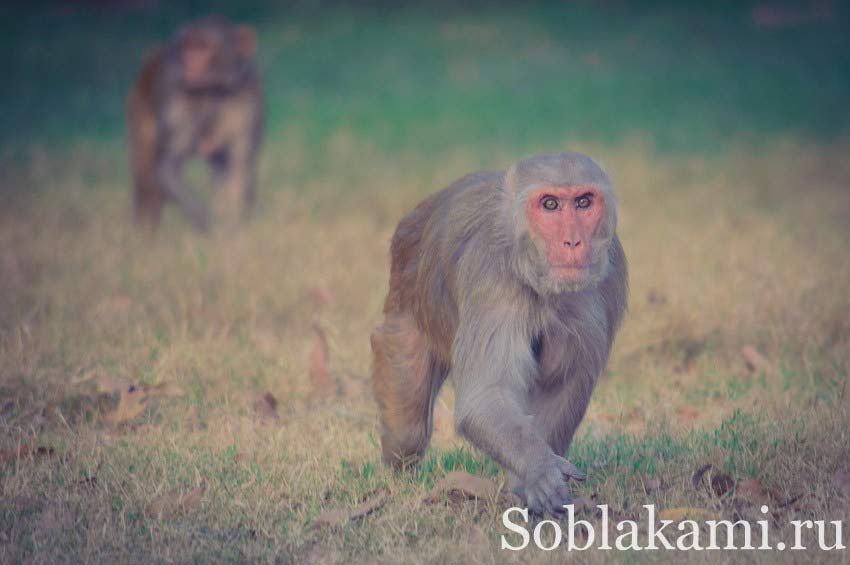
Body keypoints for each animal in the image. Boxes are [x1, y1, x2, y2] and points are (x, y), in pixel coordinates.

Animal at [126, 15, 262, 231]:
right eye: (187, 48)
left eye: (203, 48)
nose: (189, 62)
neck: (212, 89)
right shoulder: (179, 101)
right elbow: (167, 167)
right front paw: (209, 223)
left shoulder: (248, 95)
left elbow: (239, 167)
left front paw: (234, 226)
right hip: (139, 104)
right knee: (146, 179)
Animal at [368, 152, 628, 512]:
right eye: (550, 204)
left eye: (584, 202)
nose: (573, 240)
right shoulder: (491, 275)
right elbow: (485, 397)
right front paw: (539, 466)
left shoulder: (604, 286)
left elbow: (561, 384)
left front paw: (527, 484)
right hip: (407, 299)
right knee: (407, 428)